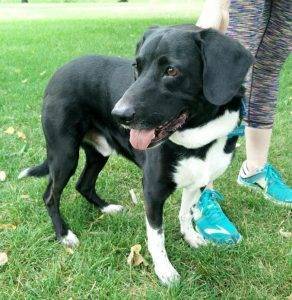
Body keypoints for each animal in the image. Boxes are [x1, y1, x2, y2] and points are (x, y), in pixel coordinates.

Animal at [19, 25, 253, 284]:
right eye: (136, 68)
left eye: (171, 70)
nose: (118, 114)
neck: (197, 139)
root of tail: (58, 72)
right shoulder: (152, 189)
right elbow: (157, 236)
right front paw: (164, 270)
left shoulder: (199, 182)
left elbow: (186, 212)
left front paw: (190, 237)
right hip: (64, 154)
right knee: (50, 196)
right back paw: (64, 234)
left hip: (99, 153)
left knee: (83, 184)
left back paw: (106, 208)